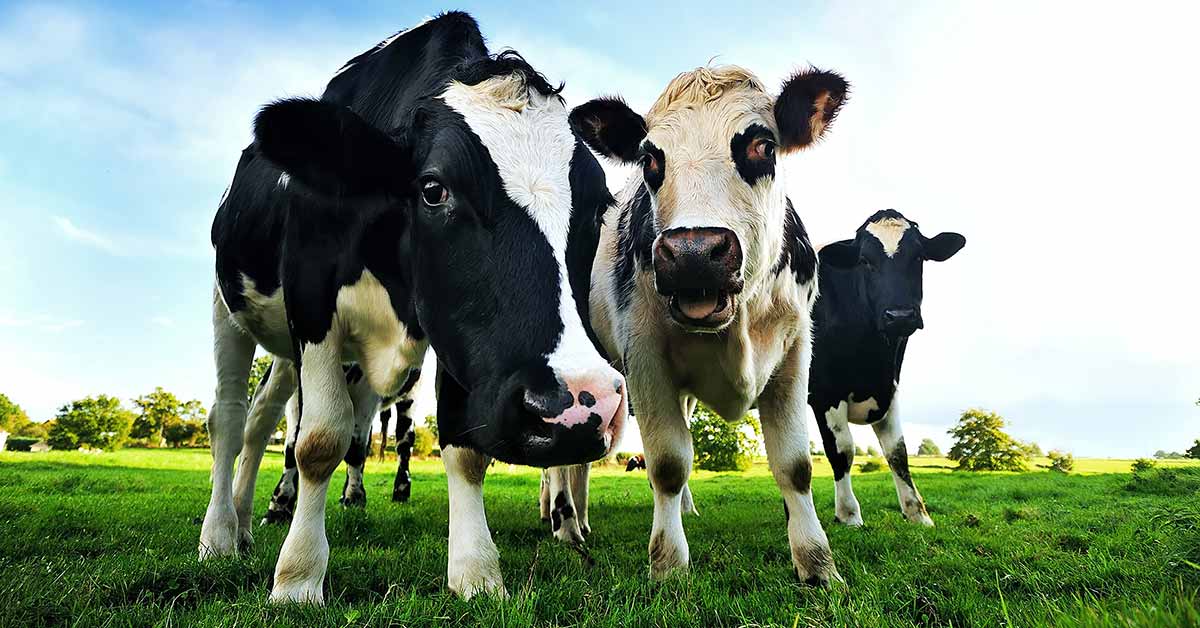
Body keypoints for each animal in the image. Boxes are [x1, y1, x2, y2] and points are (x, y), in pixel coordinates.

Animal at [196, 13, 628, 605]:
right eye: (433, 189)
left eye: (599, 205)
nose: (580, 406)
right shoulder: (311, 299)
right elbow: (320, 438)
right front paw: (298, 578)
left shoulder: (458, 337)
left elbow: (462, 445)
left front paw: (476, 573)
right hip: (228, 306)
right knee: (230, 417)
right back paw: (218, 535)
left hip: (286, 351)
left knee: (262, 417)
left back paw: (243, 522)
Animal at [566, 63, 849, 585]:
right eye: (649, 159)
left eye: (764, 146)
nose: (693, 254)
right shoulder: (644, 359)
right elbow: (668, 463)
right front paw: (668, 565)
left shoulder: (794, 355)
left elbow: (795, 465)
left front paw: (818, 565)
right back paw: (566, 525)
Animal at [806, 210, 964, 525]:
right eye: (865, 260)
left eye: (919, 257)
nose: (900, 315)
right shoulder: (823, 393)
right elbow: (842, 450)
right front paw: (848, 515)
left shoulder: (888, 389)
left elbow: (897, 452)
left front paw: (918, 514)